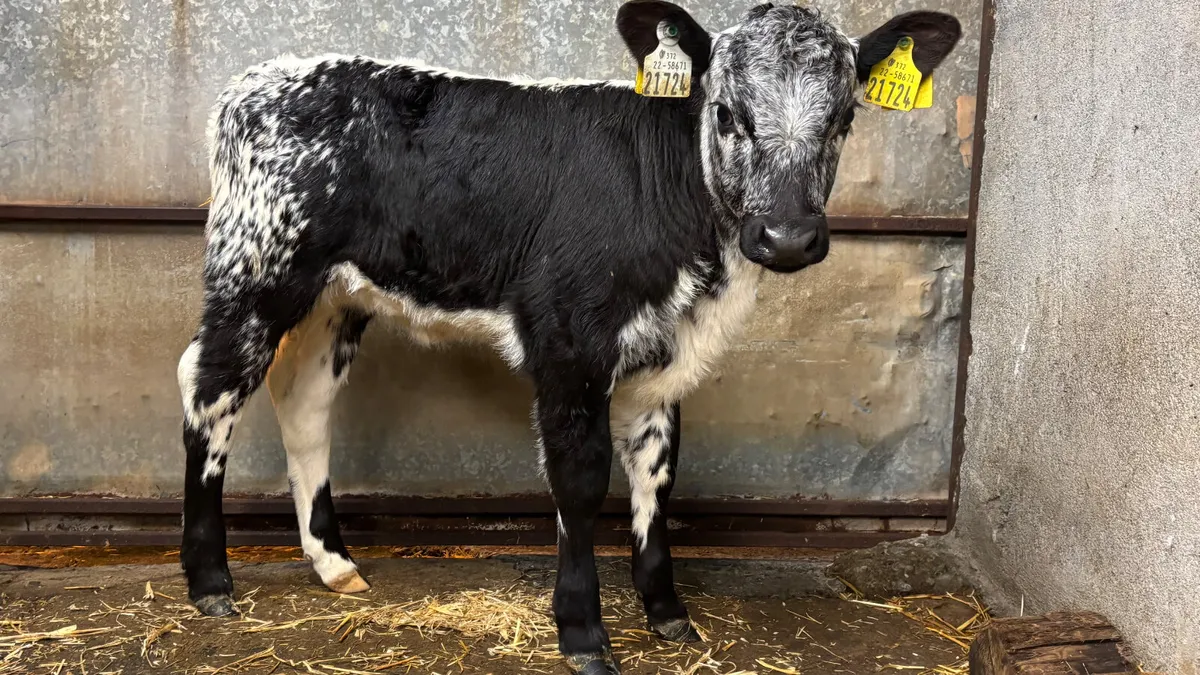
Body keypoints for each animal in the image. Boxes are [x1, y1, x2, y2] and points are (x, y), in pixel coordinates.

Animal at [176, 2, 960, 672]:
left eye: (845, 116)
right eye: (727, 112)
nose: (788, 236)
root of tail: (255, 81)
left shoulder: (662, 353)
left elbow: (656, 474)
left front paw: (666, 611)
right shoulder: (569, 343)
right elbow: (580, 480)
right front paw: (583, 632)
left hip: (336, 295)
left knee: (303, 401)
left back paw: (333, 563)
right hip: (256, 272)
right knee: (209, 391)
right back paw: (210, 580)